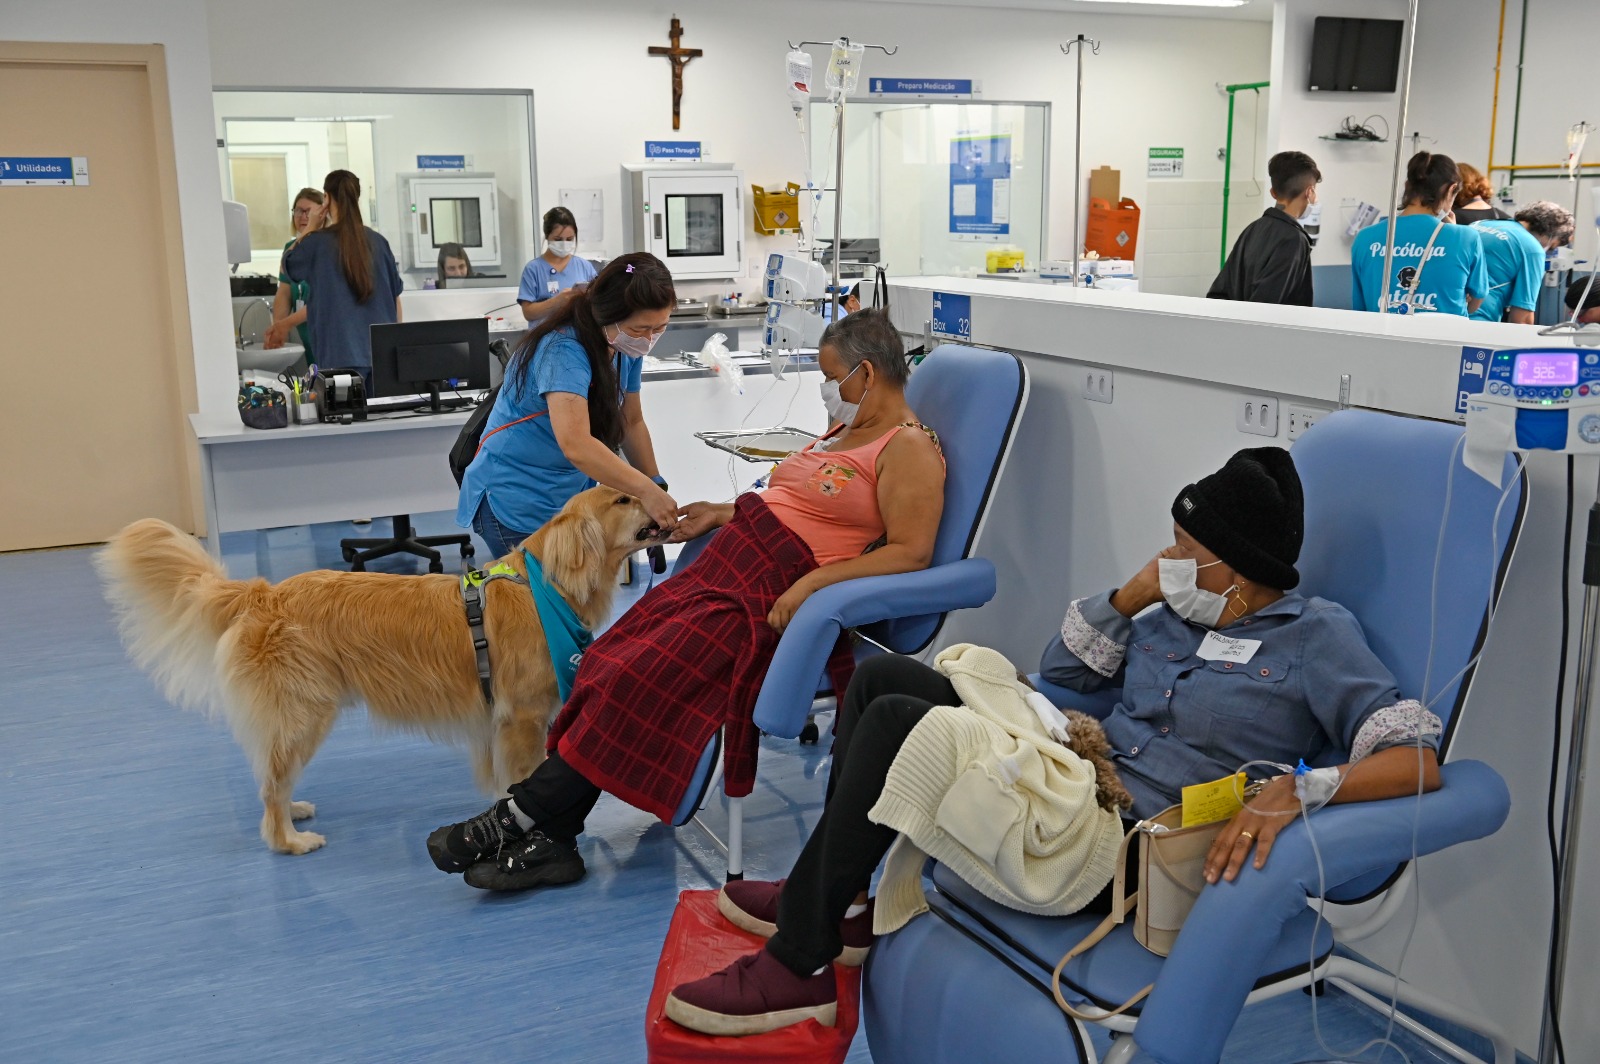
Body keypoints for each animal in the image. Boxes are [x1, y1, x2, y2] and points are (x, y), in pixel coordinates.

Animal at [96, 486, 659, 857]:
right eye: (623, 500)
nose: (666, 488)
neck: (544, 587)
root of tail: (264, 594)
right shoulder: (521, 719)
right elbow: (523, 779)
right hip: (303, 715)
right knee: (270, 785)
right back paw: (289, 840)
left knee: (273, 780)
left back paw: (294, 813)